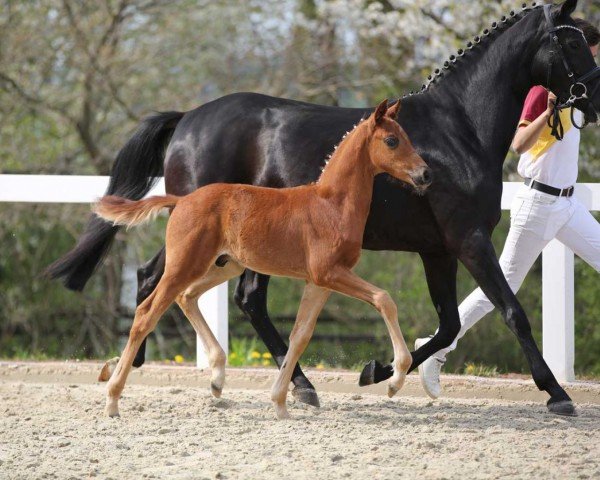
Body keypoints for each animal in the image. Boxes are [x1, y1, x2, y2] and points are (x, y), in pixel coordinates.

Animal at [95, 99, 432, 418]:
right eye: (391, 140)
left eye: (406, 136)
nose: (425, 173)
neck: (331, 204)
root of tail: (182, 200)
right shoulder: (330, 273)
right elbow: (384, 299)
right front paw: (395, 380)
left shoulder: (319, 281)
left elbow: (300, 335)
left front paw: (282, 403)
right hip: (185, 263)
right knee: (147, 313)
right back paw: (112, 399)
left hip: (225, 265)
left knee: (186, 296)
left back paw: (217, 377)